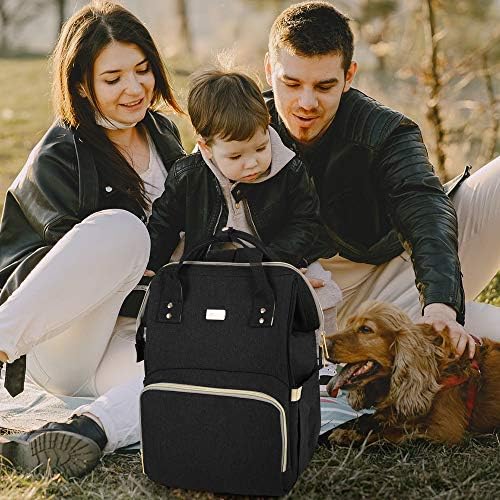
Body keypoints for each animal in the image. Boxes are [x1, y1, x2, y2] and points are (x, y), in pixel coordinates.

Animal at [324, 301, 500, 445]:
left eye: (366, 329)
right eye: (348, 324)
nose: (323, 343)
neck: (437, 372)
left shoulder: (444, 429)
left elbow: (389, 433)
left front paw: (348, 435)